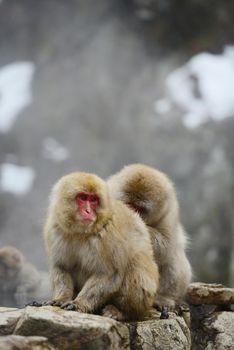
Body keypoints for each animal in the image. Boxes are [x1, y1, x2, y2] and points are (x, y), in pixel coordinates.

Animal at [43, 171, 160, 322]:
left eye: (93, 200)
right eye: (83, 197)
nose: (88, 211)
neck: (81, 233)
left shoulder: (109, 236)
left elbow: (109, 274)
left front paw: (79, 303)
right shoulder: (54, 231)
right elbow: (61, 266)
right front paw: (61, 298)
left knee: (136, 263)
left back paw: (122, 312)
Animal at [108, 164, 192, 308]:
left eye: (139, 208)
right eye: (129, 205)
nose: (131, 213)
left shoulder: (170, 212)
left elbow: (166, 246)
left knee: (173, 257)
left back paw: (164, 297)